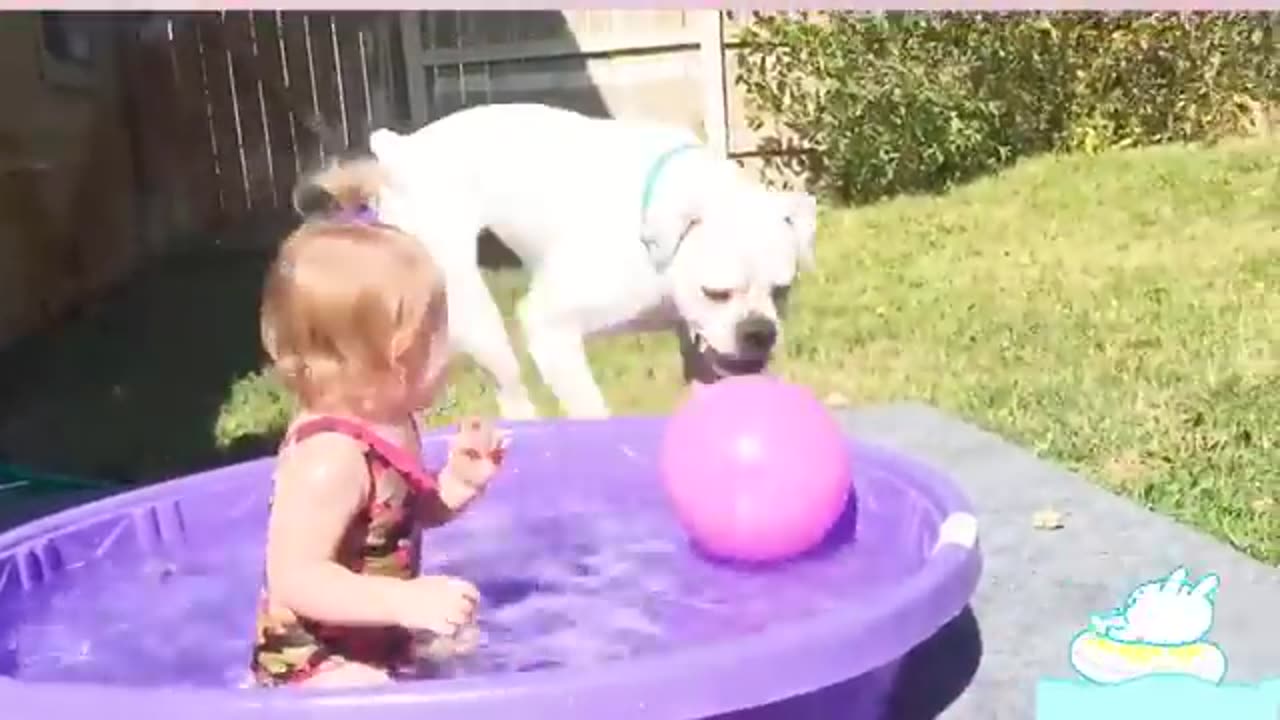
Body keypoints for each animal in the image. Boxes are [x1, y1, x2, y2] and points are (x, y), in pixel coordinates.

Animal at [355, 103, 814, 417]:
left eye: (783, 291)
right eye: (716, 292)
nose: (759, 331)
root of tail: (402, 147)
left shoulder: (700, 347)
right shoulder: (551, 327)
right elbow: (591, 409)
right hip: (476, 316)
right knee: (513, 392)